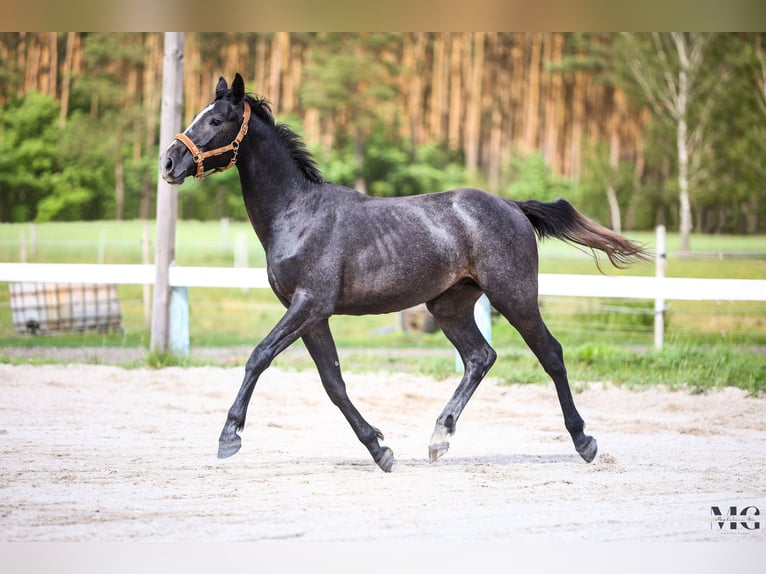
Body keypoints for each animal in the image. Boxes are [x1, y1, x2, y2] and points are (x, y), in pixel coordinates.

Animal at [160, 74, 648, 472]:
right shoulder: (313, 316)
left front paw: (229, 437)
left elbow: (258, 356)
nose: (168, 162)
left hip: (514, 296)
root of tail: (512, 206)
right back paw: (438, 439)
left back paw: (583, 441)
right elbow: (333, 382)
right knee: (480, 357)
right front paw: (380, 448)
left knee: (551, 354)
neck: (297, 214)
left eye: (216, 119)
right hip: (449, 305)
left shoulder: (309, 304)